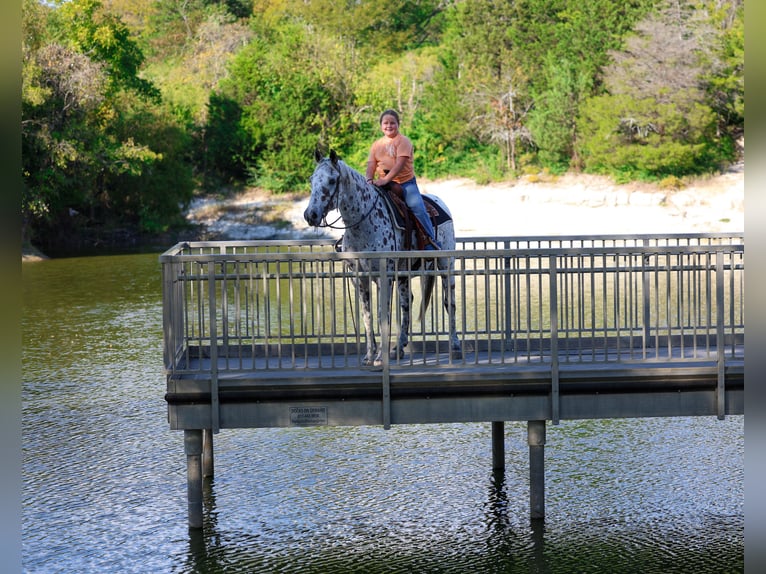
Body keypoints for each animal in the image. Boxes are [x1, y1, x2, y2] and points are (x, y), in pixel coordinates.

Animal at [304, 149, 462, 366]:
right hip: (403, 275)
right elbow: (367, 316)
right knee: (407, 302)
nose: (310, 215)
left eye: (331, 180)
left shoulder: (383, 277)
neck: (362, 223)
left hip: (446, 265)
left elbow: (382, 315)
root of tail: (439, 202)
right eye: (312, 180)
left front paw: (380, 357)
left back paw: (455, 345)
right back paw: (399, 347)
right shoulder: (359, 278)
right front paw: (369, 356)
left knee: (450, 303)